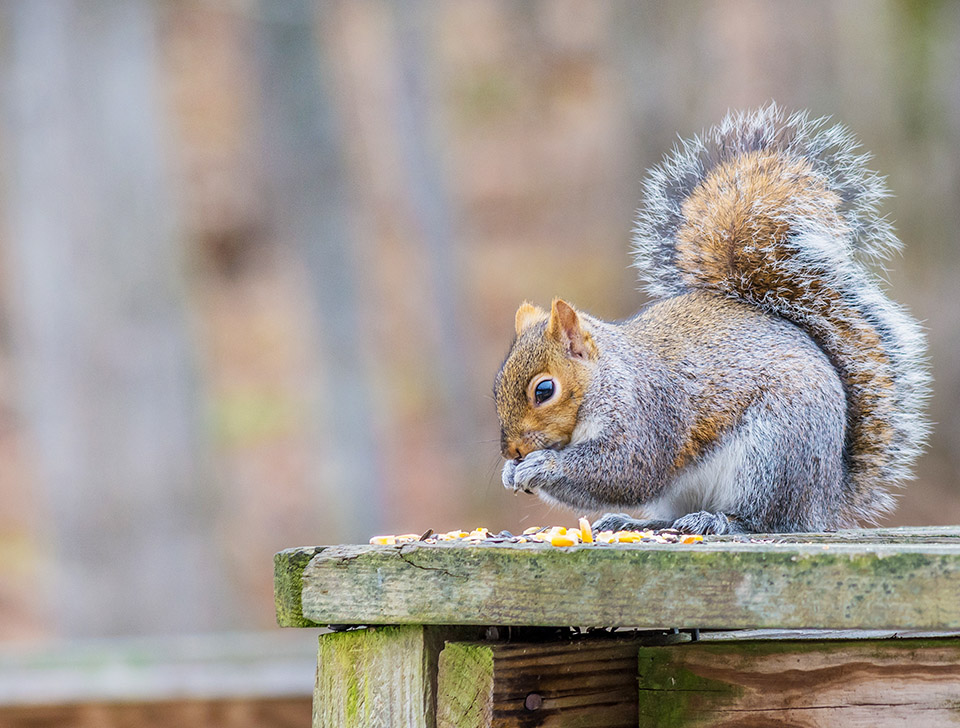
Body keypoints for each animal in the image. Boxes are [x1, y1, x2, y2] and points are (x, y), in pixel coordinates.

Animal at [496, 104, 928, 536]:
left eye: (544, 390)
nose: (513, 450)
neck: (606, 378)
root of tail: (825, 501)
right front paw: (510, 471)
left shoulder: (649, 414)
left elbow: (626, 471)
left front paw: (540, 465)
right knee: (674, 515)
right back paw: (636, 522)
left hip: (773, 454)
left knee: (764, 519)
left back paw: (721, 520)